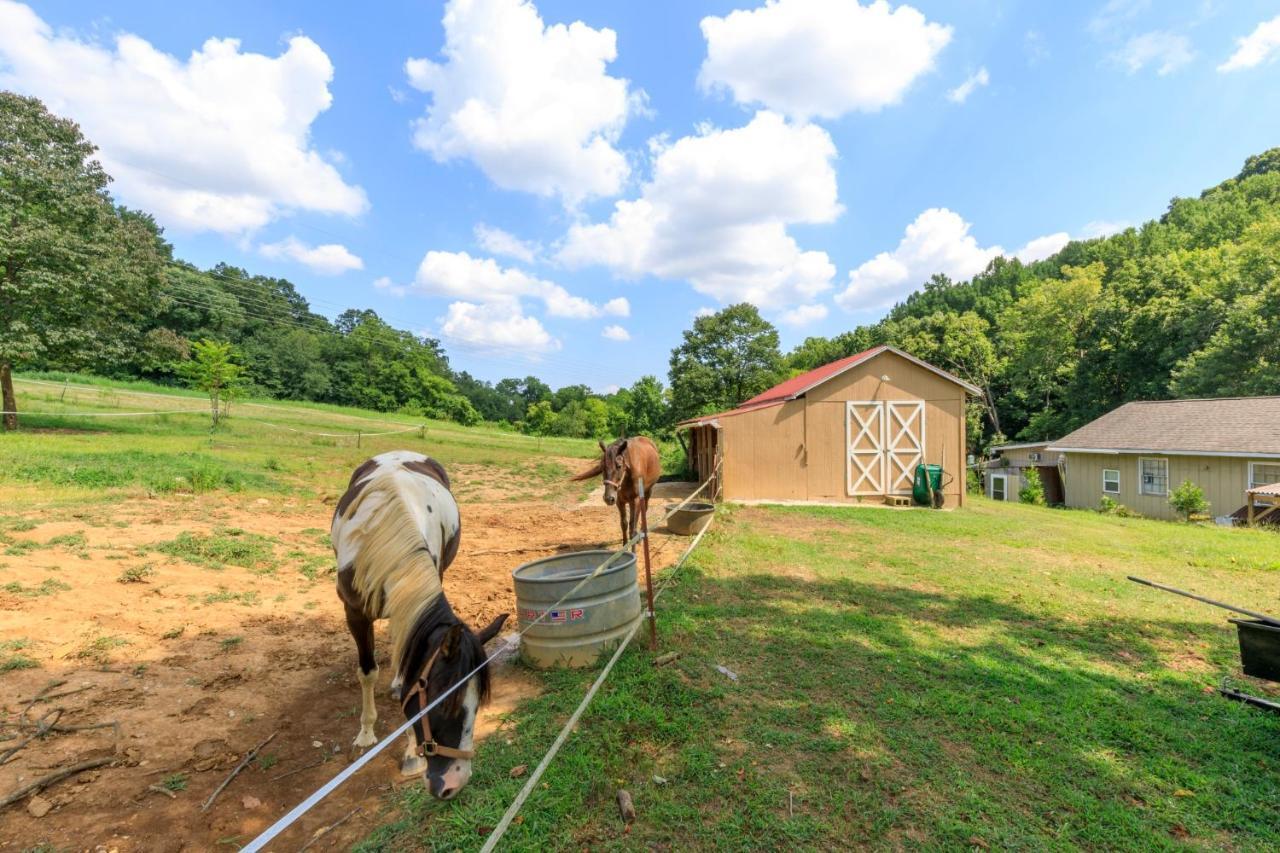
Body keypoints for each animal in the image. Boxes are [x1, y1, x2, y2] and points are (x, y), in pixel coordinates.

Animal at [332, 450, 506, 799]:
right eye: (447, 707)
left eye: (477, 706)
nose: (454, 783)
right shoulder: (354, 613)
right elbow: (367, 672)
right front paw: (366, 732)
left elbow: (408, 673)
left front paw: (411, 755)